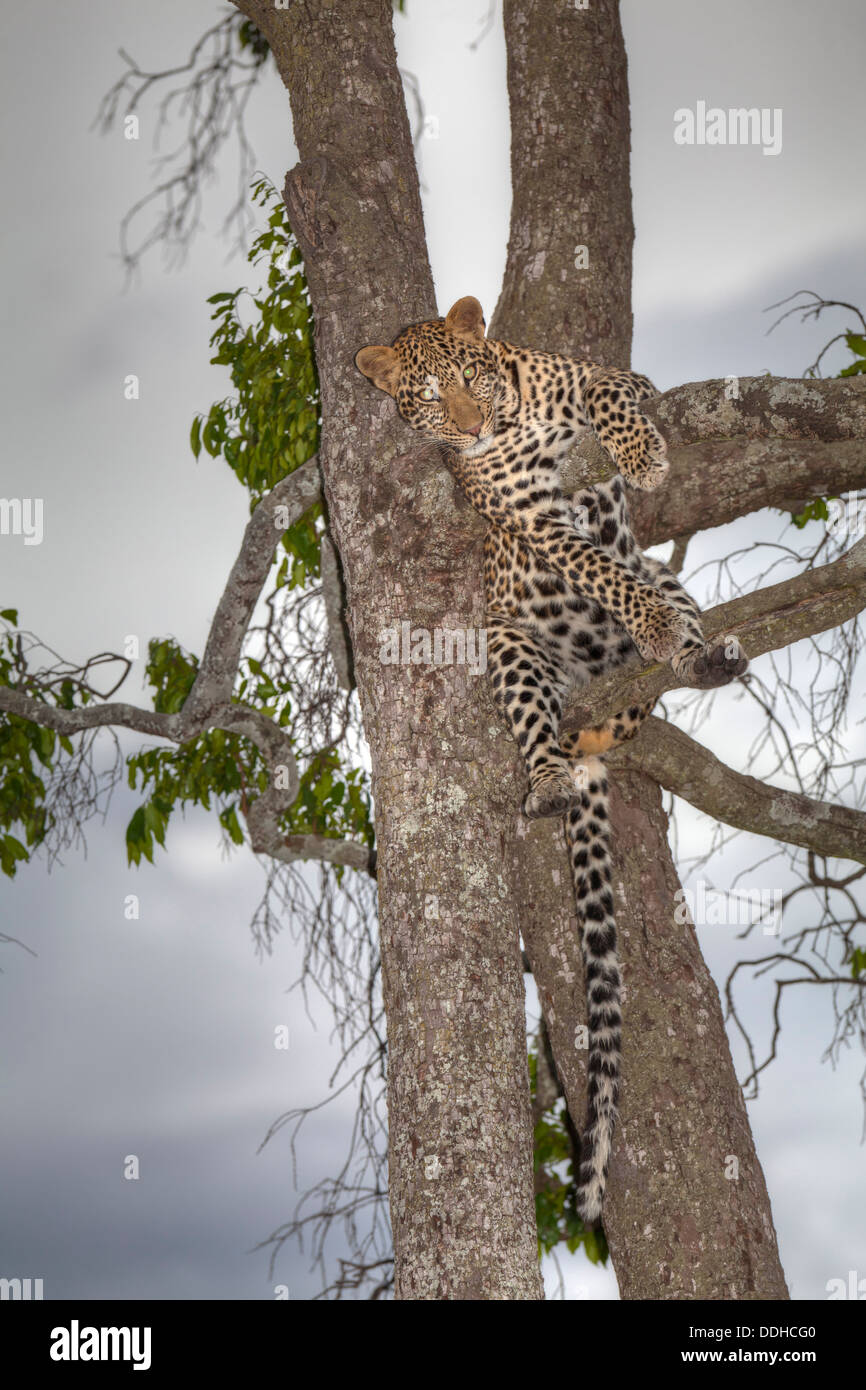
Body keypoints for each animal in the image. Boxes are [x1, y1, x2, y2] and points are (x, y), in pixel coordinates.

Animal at [355, 296, 750, 1228]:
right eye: (427, 400)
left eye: (471, 375)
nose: (472, 425)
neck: (513, 420)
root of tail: (588, 718)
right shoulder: (529, 519)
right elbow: (595, 568)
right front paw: (638, 611)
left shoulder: (610, 380)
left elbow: (611, 399)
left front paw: (642, 459)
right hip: (508, 645)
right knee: (545, 731)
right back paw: (547, 780)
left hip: (664, 597)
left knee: (663, 638)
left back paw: (699, 655)